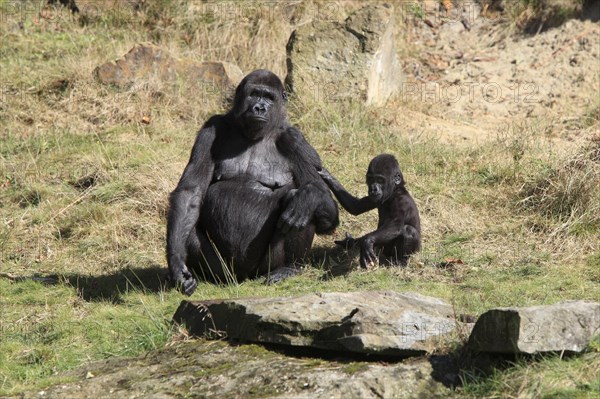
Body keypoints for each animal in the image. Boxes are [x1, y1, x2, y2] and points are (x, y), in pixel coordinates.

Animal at [166, 69, 340, 296]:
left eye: (269, 97)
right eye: (254, 94)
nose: (260, 107)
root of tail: (244, 277)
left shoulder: (296, 141)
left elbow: (325, 205)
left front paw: (308, 197)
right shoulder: (210, 130)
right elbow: (190, 193)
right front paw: (177, 264)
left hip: (264, 267)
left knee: (301, 208)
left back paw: (289, 267)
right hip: (226, 270)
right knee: (187, 225)